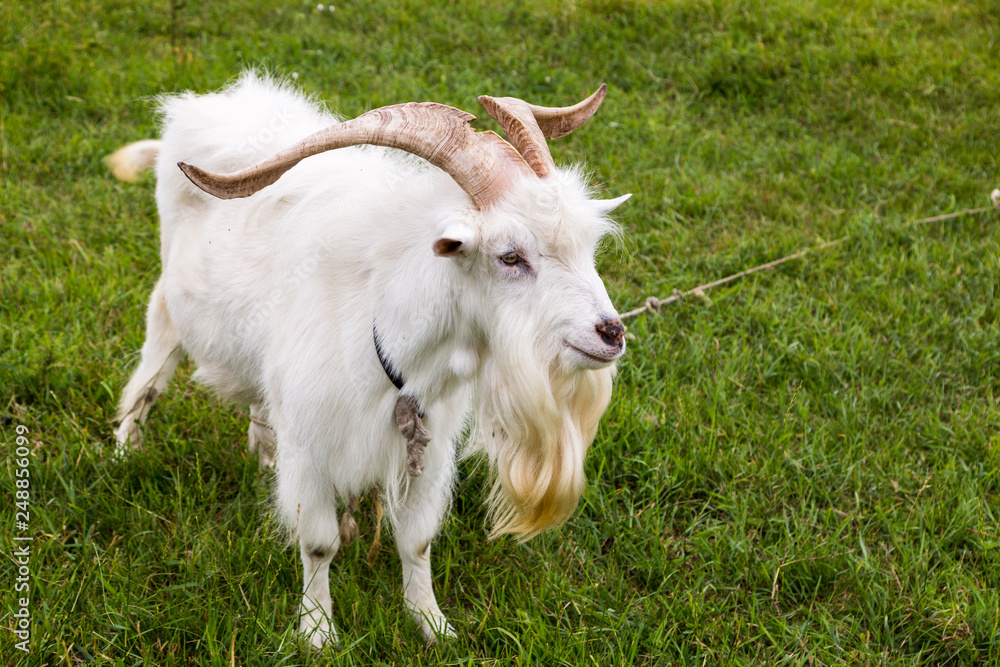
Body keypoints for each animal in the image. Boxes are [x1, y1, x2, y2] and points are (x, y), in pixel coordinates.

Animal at [108, 73, 630, 646]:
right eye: (510, 257)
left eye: (587, 245)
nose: (611, 333)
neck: (384, 333)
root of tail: (206, 109)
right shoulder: (313, 449)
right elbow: (319, 543)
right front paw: (317, 632)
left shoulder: (428, 451)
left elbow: (417, 542)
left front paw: (431, 624)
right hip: (170, 303)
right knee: (154, 361)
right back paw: (126, 447)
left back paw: (263, 455)